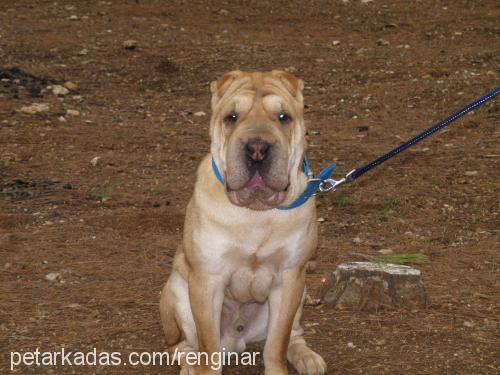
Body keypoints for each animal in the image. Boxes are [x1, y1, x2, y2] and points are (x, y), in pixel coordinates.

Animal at [158, 71, 326, 375]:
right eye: (231, 117)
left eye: (283, 117)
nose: (257, 148)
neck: (256, 211)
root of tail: (236, 340)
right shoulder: (207, 280)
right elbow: (209, 346)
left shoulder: (289, 279)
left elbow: (277, 343)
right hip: (177, 291)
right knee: (179, 344)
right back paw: (189, 362)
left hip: (301, 291)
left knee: (292, 335)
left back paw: (306, 356)